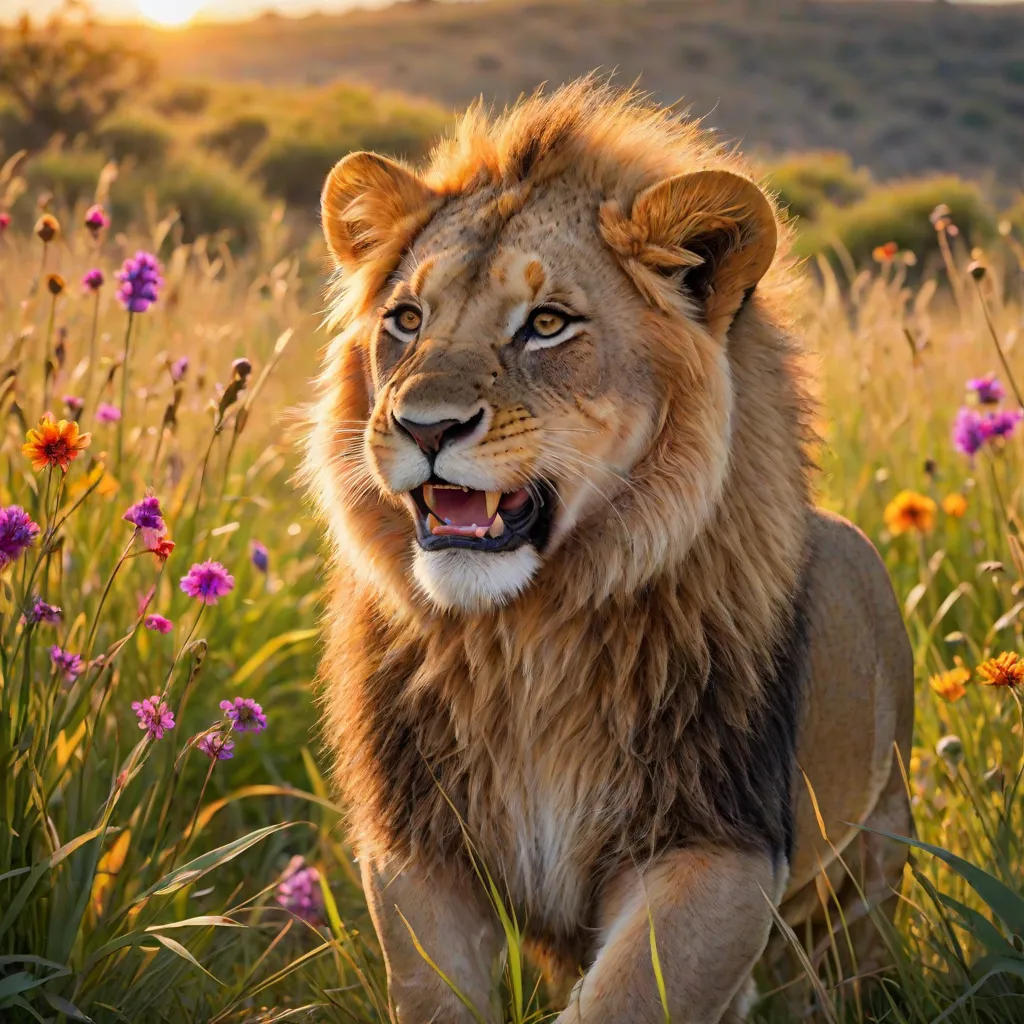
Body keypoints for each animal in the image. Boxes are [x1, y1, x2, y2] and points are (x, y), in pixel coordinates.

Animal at [306, 80, 914, 1023]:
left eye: (547, 324)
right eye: (406, 319)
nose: (424, 427)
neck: (524, 638)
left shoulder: (718, 844)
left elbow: (630, 997)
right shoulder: (417, 849)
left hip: (874, 856)